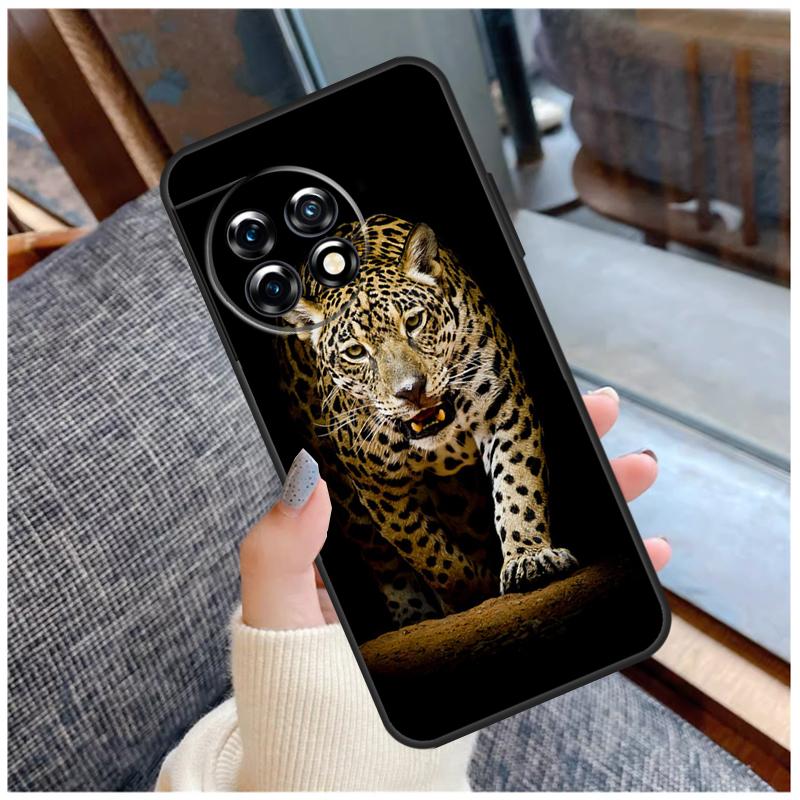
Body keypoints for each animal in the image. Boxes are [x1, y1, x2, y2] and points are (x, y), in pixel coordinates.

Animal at [278, 214, 577, 628]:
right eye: (356, 352)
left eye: (415, 322)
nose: (412, 390)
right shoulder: (377, 486)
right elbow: (426, 549)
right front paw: (471, 591)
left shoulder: (507, 410)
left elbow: (519, 487)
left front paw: (528, 559)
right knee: (381, 558)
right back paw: (411, 612)